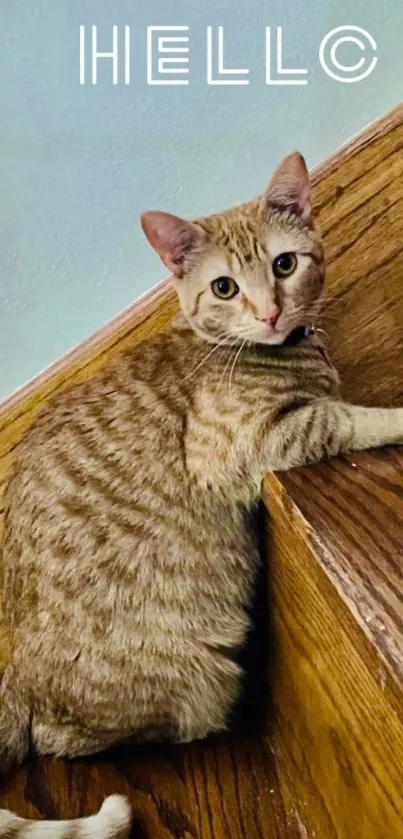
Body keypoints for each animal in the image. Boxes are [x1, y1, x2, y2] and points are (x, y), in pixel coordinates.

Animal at [2, 154, 403, 836]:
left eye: (284, 264)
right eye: (224, 288)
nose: (269, 312)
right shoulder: (245, 446)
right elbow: (347, 417)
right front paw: (394, 414)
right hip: (199, 671)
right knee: (69, 740)